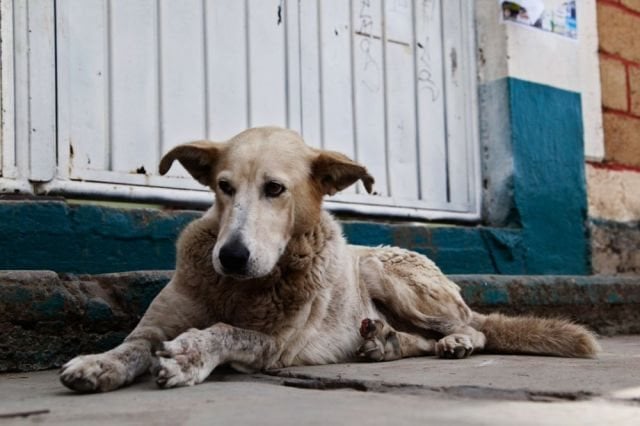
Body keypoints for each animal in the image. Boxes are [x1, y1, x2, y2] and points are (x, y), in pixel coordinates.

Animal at [60, 126, 600, 392]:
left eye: (275, 189)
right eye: (223, 186)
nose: (231, 257)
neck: (238, 288)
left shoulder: (273, 347)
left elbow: (227, 332)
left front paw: (191, 355)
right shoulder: (157, 324)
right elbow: (133, 345)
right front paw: (99, 364)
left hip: (385, 272)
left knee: (474, 327)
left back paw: (455, 342)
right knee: (421, 339)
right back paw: (386, 343)